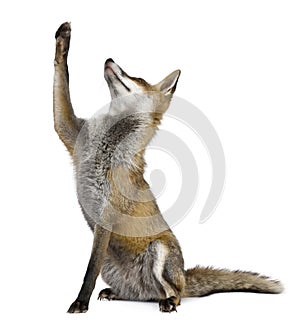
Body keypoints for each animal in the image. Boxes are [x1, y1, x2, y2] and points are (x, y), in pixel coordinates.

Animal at [52, 21, 282, 314]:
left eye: (136, 77)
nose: (109, 60)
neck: (106, 142)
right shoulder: (70, 133)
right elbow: (62, 80)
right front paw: (63, 41)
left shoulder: (108, 211)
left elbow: (89, 271)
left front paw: (81, 302)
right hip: (114, 269)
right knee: (141, 295)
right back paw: (119, 293)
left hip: (160, 251)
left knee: (176, 292)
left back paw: (170, 301)